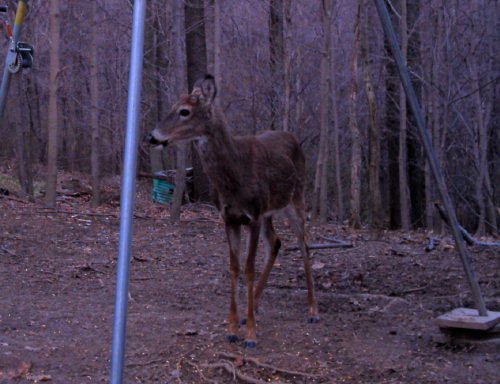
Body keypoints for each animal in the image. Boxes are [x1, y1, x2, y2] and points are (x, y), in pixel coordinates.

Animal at [148, 74, 318, 348]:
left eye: (184, 111)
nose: (152, 137)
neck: (234, 175)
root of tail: (295, 139)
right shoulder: (230, 218)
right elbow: (234, 267)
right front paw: (232, 326)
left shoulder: (254, 216)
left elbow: (248, 268)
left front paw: (250, 335)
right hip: (270, 210)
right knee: (276, 242)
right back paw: (255, 306)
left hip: (296, 198)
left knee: (304, 244)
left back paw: (312, 310)